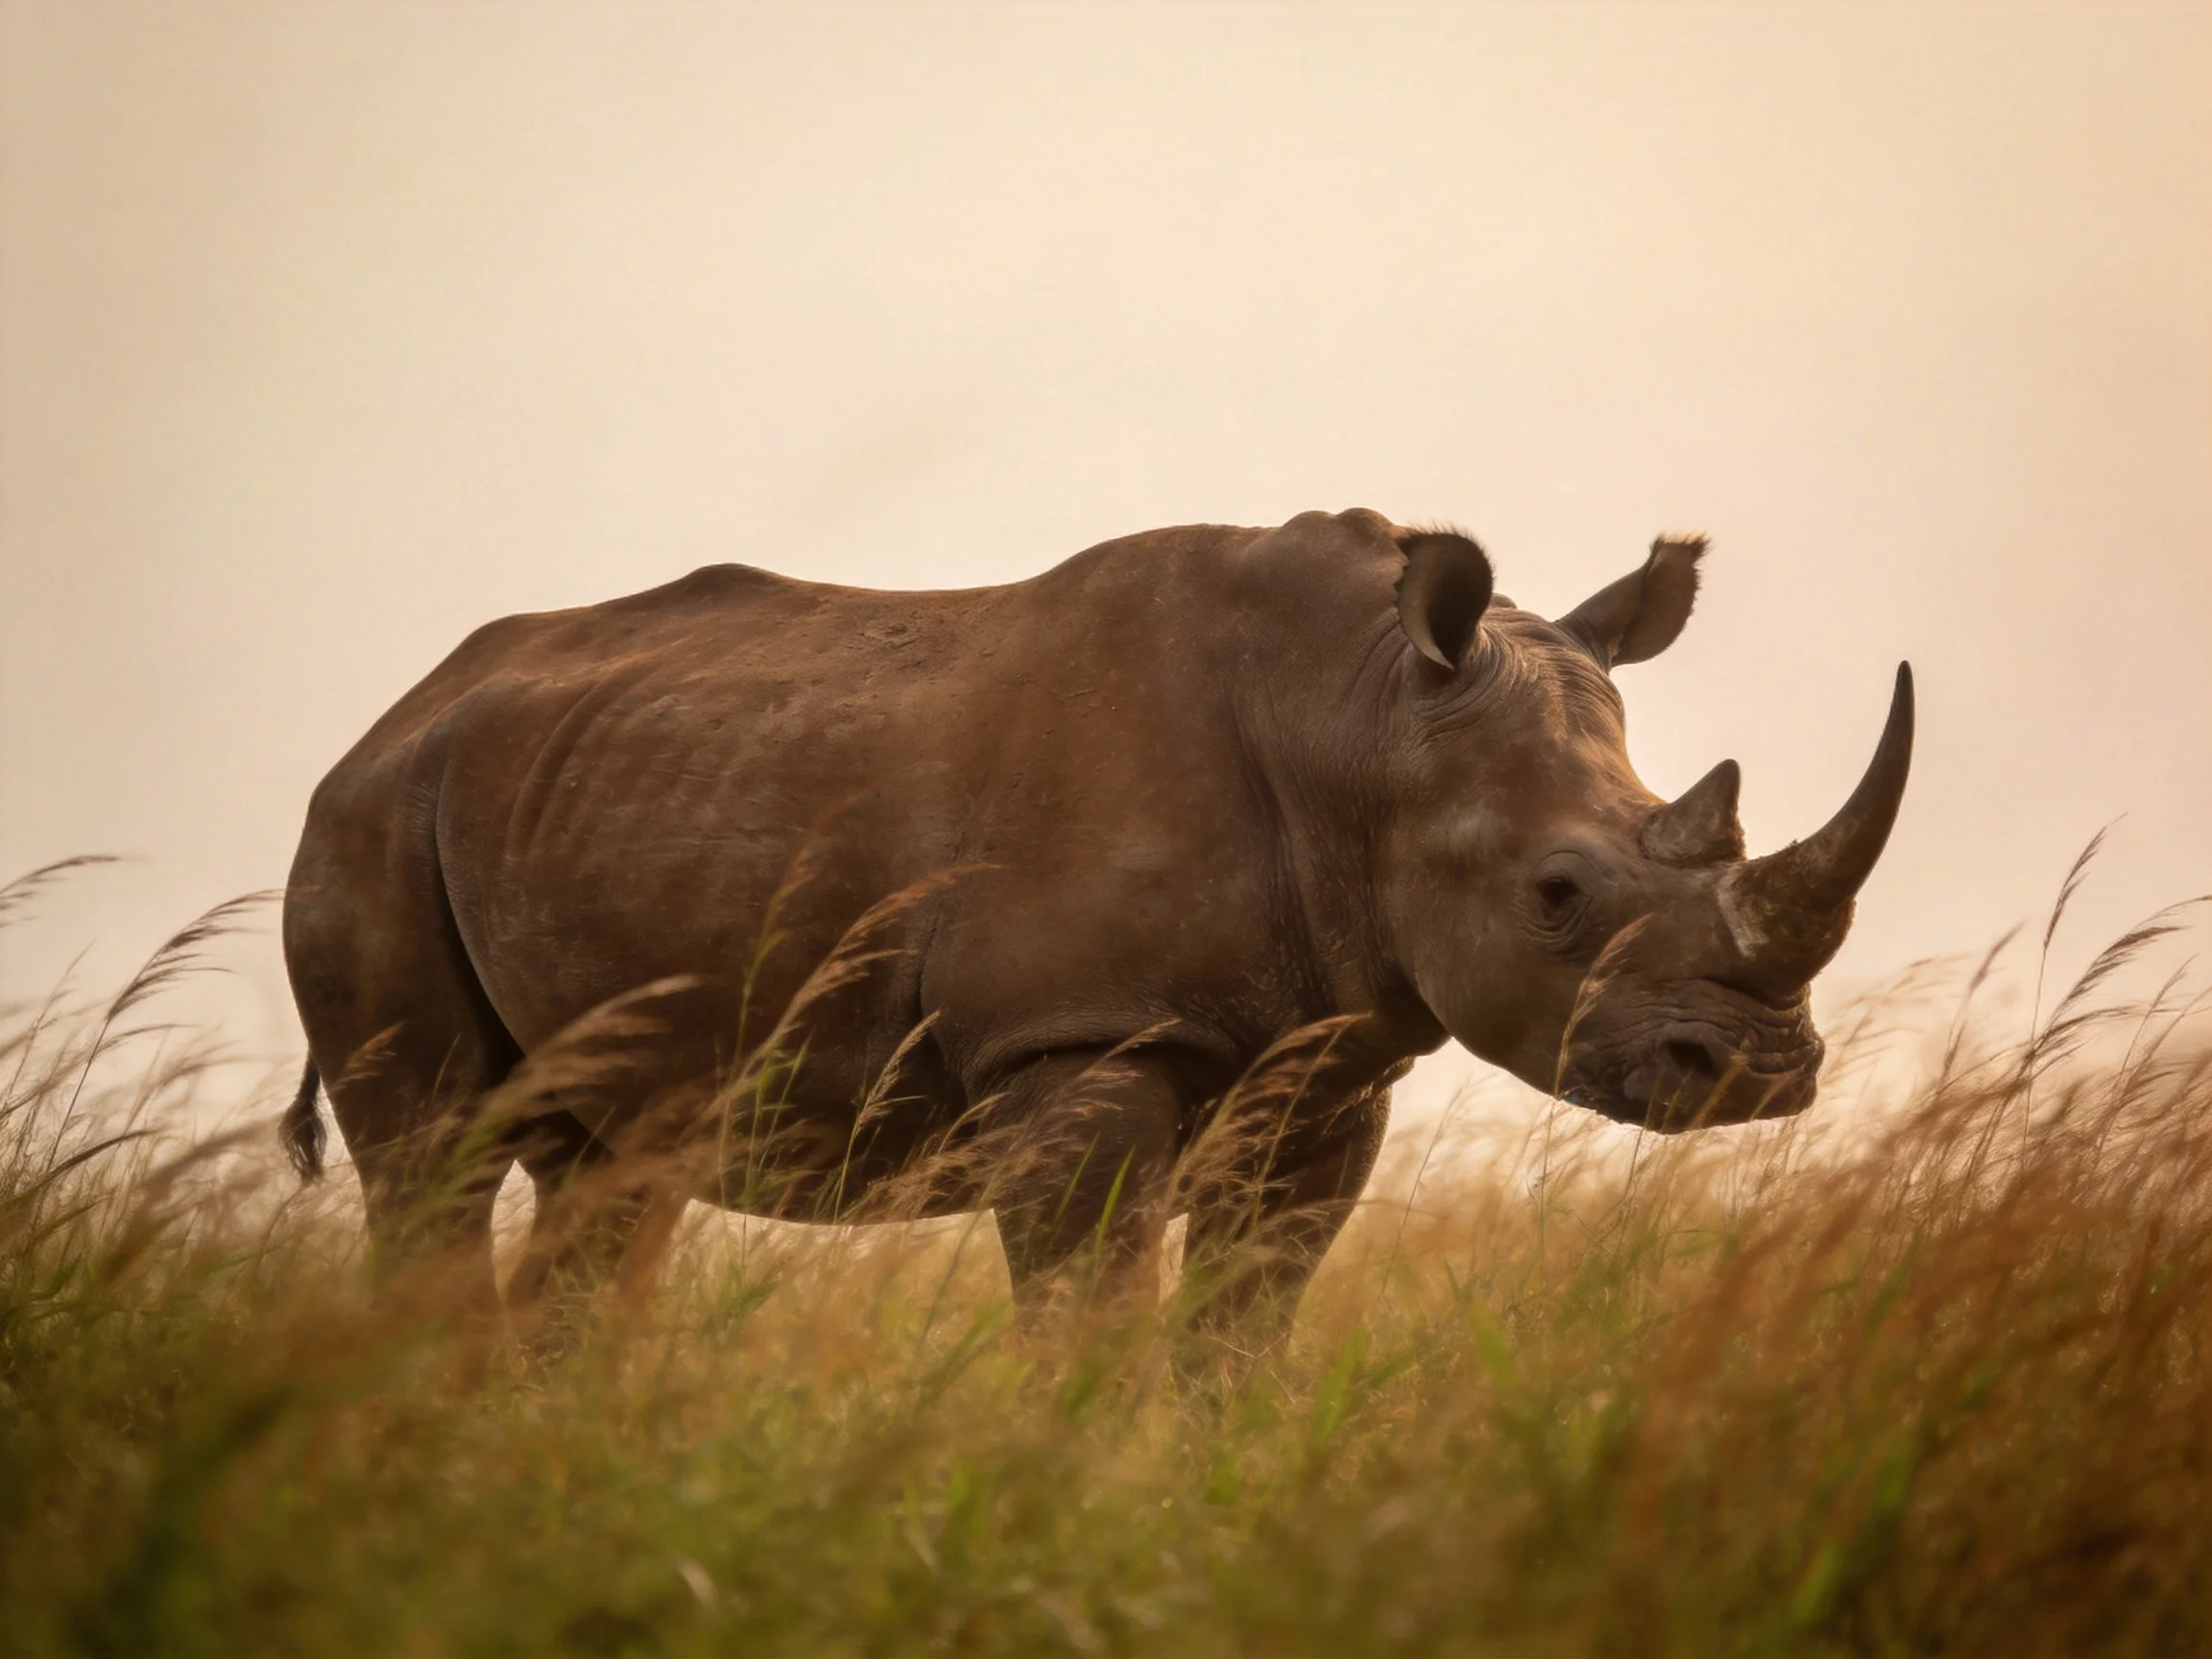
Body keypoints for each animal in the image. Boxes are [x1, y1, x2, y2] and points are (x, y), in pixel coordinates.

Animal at [279, 508, 1911, 1344]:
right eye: (1559, 898)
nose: (1761, 1071)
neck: (1364, 722)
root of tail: (395, 712)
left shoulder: (1331, 1064)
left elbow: (1242, 1334)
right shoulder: (1079, 1041)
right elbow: (1093, 1325)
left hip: (556, 793)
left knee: (612, 1181)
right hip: (366, 824)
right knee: (433, 1162)